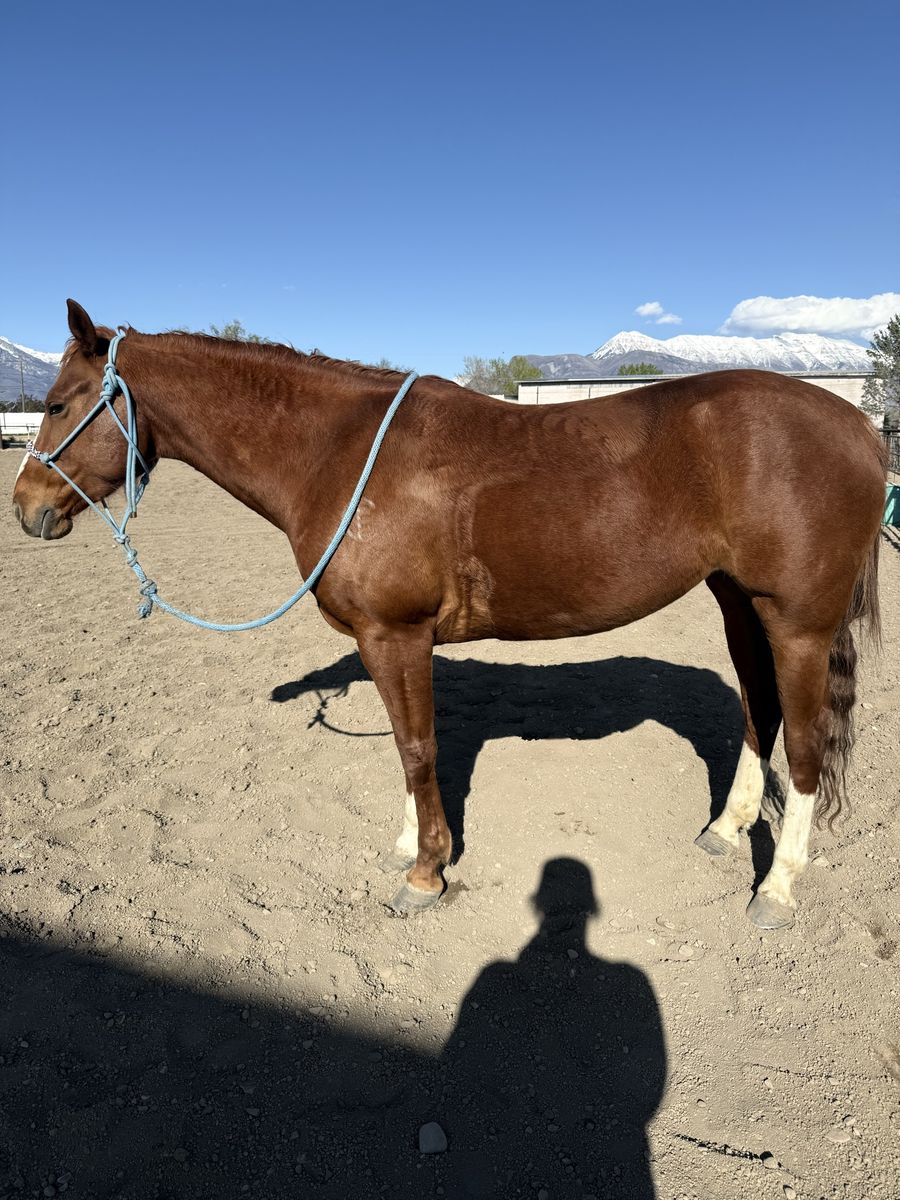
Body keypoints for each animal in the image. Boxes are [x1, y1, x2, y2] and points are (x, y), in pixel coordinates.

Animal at [12, 300, 887, 926]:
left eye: (56, 405)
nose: (25, 509)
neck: (340, 452)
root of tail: (860, 428)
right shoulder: (385, 641)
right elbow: (407, 750)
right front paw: (408, 844)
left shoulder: (394, 635)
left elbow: (416, 747)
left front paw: (426, 871)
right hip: (740, 605)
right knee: (758, 715)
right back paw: (726, 830)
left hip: (798, 624)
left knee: (803, 743)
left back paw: (777, 889)